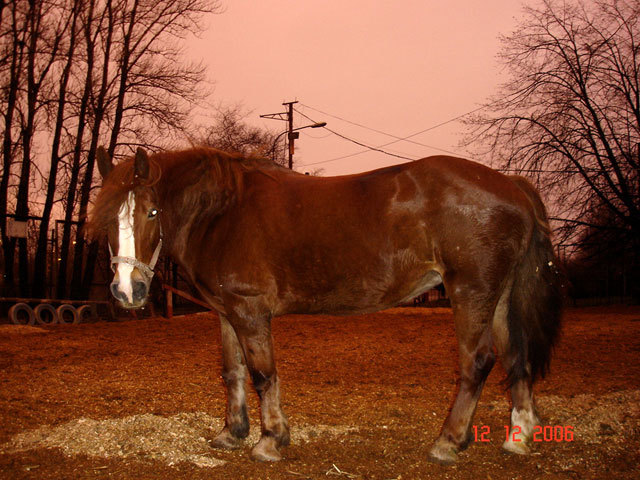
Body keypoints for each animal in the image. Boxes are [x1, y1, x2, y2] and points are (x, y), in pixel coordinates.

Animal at [87, 147, 564, 464]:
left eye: (151, 212)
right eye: (108, 216)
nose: (127, 290)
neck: (222, 212)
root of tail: (512, 185)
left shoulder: (249, 311)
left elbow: (262, 374)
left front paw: (270, 440)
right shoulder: (225, 312)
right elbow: (232, 372)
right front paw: (232, 433)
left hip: (470, 293)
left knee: (478, 361)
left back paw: (448, 441)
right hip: (499, 298)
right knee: (515, 357)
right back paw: (518, 437)